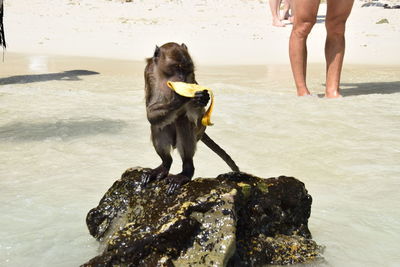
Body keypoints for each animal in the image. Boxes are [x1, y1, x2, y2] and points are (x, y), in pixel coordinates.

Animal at [142, 43, 239, 196]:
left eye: (186, 69)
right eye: (177, 67)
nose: (182, 78)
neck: (165, 77)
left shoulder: (191, 77)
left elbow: (195, 114)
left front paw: (200, 99)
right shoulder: (149, 74)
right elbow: (151, 114)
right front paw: (181, 97)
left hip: (198, 132)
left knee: (183, 120)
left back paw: (186, 171)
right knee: (158, 125)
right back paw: (165, 164)